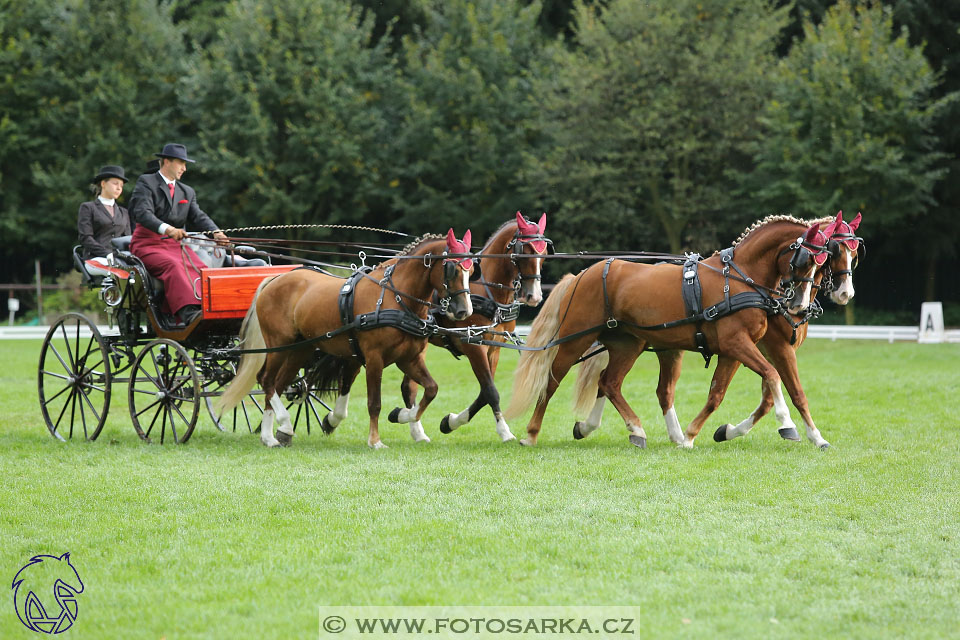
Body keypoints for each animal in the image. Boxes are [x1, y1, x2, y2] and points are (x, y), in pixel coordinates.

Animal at [216, 228, 474, 448]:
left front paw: (404, 416)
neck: (395, 298)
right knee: (267, 380)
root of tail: (275, 279)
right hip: (279, 345)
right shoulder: (374, 358)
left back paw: (272, 435)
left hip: (300, 350)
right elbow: (374, 403)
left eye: (471, 271)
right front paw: (375, 440)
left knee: (277, 385)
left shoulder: (408, 359)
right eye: (452, 269)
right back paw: (280, 426)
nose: (464, 311)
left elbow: (431, 389)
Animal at [502, 218, 824, 448]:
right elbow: (771, 375)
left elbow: (720, 392)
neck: (738, 278)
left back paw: (630, 429)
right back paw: (531, 434)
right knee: (551, 382)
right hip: (574, 340)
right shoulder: (736, 344)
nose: (799, 304)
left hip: (627, 345)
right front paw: (787, 424)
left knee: (609, 383)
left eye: (822, 267)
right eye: (804, 260)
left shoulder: (734, 349)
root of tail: (581, 275)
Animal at [568, 211, 864, 450]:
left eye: (854, 256)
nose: (845, 294)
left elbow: (749, 394)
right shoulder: (765, 347)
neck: (744, 279)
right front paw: (788, 426)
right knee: (609, 382)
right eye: (834, 252)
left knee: (624, 384)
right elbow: (782, 386)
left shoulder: (748, 350)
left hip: (653, 347)